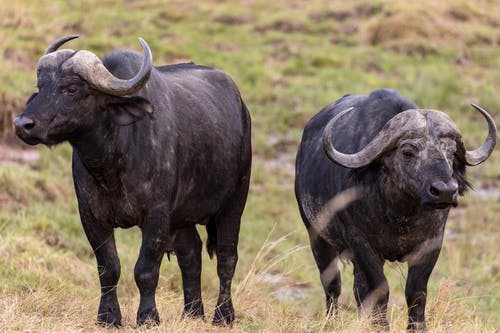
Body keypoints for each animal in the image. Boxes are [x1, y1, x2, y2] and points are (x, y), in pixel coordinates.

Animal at [14, 35, 252, 326]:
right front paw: (108, 316)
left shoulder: (157, 215)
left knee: (227, 257)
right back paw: (192, 313)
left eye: (71, 88)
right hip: (182, 217)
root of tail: (242, 107)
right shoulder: (91, 215)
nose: (22, 124)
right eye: (41, 86)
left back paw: (223, 315)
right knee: (191, 255)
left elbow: (145, 269)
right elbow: (108, 267)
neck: (112, 164)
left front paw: (148, 316)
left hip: (235, 201)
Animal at [296, 89, 496, 330]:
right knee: (332, 285)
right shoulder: (361, 243)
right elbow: (379, 289)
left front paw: (417, 327)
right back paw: (331, 322)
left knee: (357, 289)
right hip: (317, 236)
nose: (445, 191)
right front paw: (381, 326)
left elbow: (416, 291)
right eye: (408, 152)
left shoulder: (431, 243)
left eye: (450, 152)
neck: (400, 214)